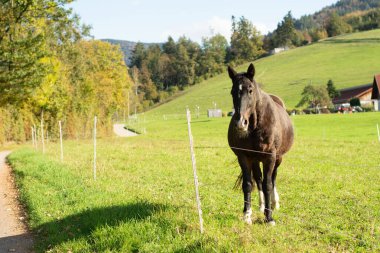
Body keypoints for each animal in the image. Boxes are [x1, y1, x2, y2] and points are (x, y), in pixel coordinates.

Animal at [227, 63, 296, 225]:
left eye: (250, 90)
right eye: (232, 92)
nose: (240, 123)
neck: (255, 126)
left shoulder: (270, 157)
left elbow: (268, 184)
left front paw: (269, 217)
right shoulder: (244, 157)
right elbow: (248, 185)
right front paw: (247, 215)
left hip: (278, 158)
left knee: (273, 178)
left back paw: (274, 203)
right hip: (255, 159)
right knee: (258, 179)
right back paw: (262, 204)